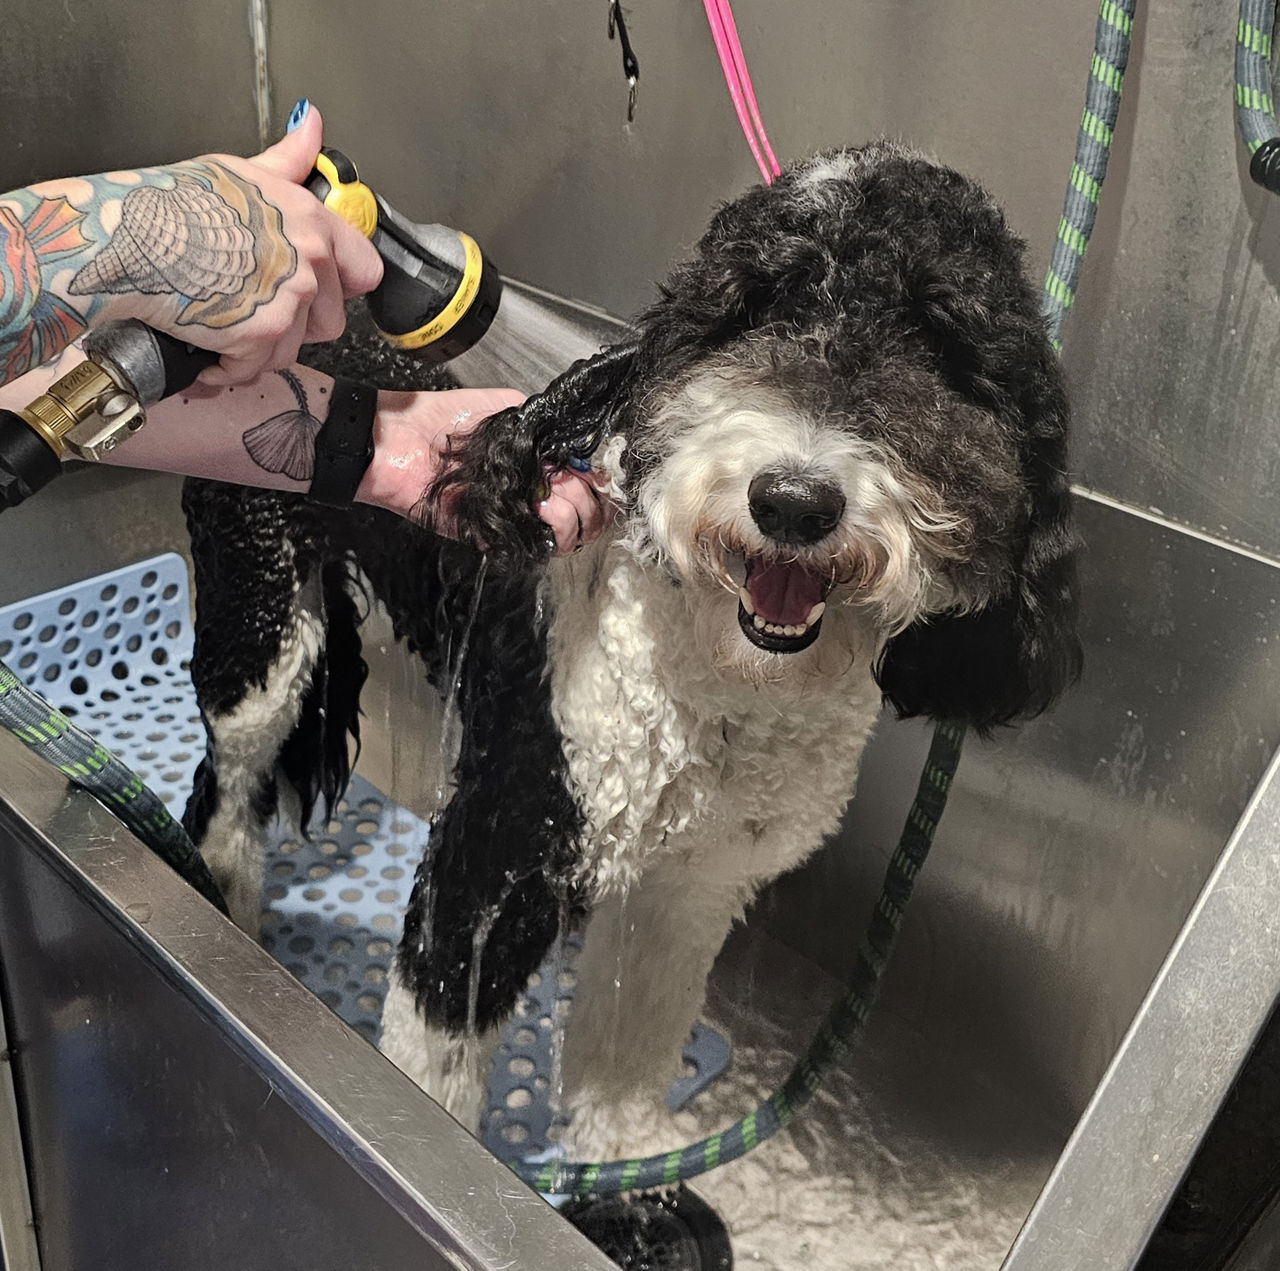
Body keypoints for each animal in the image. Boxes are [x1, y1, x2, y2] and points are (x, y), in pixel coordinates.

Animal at [183, 141, 1080, 1162]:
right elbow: (431, 1075)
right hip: (260, 625)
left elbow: (627, 1055)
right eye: (744, 311)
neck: (726, 687)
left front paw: (619, 1167)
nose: (794, 500)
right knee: (223, 792)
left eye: (943, 345)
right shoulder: (491, 861)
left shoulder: (692, 886)